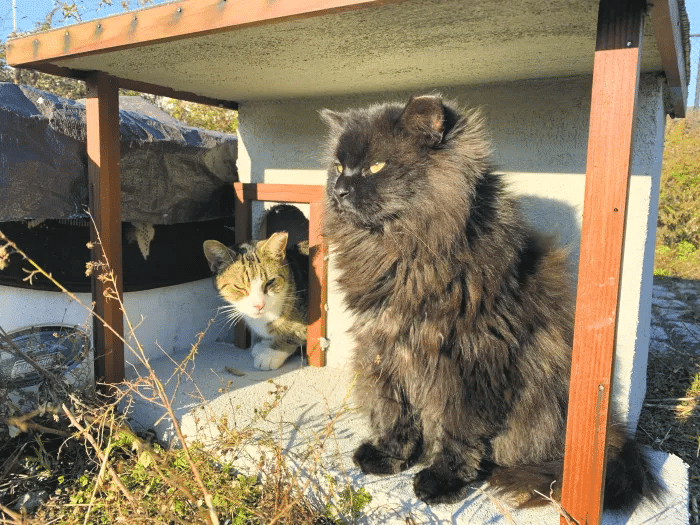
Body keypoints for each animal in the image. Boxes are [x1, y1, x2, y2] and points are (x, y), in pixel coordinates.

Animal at [205, 231, 308, 370]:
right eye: (239, 287)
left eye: (270, 282)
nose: (259, 305)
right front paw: (265, 344)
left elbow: (295, 331)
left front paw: (272, 352)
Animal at [320, 96, 660, 510]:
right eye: (338, 167)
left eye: (375, 167)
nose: (339, 189)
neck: (402, 254)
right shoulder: (387, 349)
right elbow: (396, 412)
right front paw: (390, 457)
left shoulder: (470, 362)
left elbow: (458, 431)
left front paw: (441, 480)